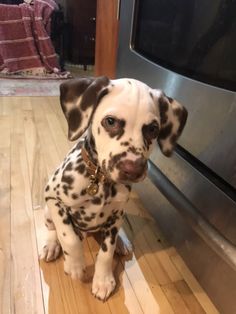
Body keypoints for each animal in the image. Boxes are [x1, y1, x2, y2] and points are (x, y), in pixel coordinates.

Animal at [41, 76, 188, 302]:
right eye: (110, 121)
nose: (133, 169)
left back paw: (122, 242)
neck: (100, 181)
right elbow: (69, 237)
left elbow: (105, 253)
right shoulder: (53, 198)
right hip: (48, 212)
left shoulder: (115, 215)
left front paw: (103, 280)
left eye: (153, 129)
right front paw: (75, 266)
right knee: (52, 229)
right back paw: (51, 245)